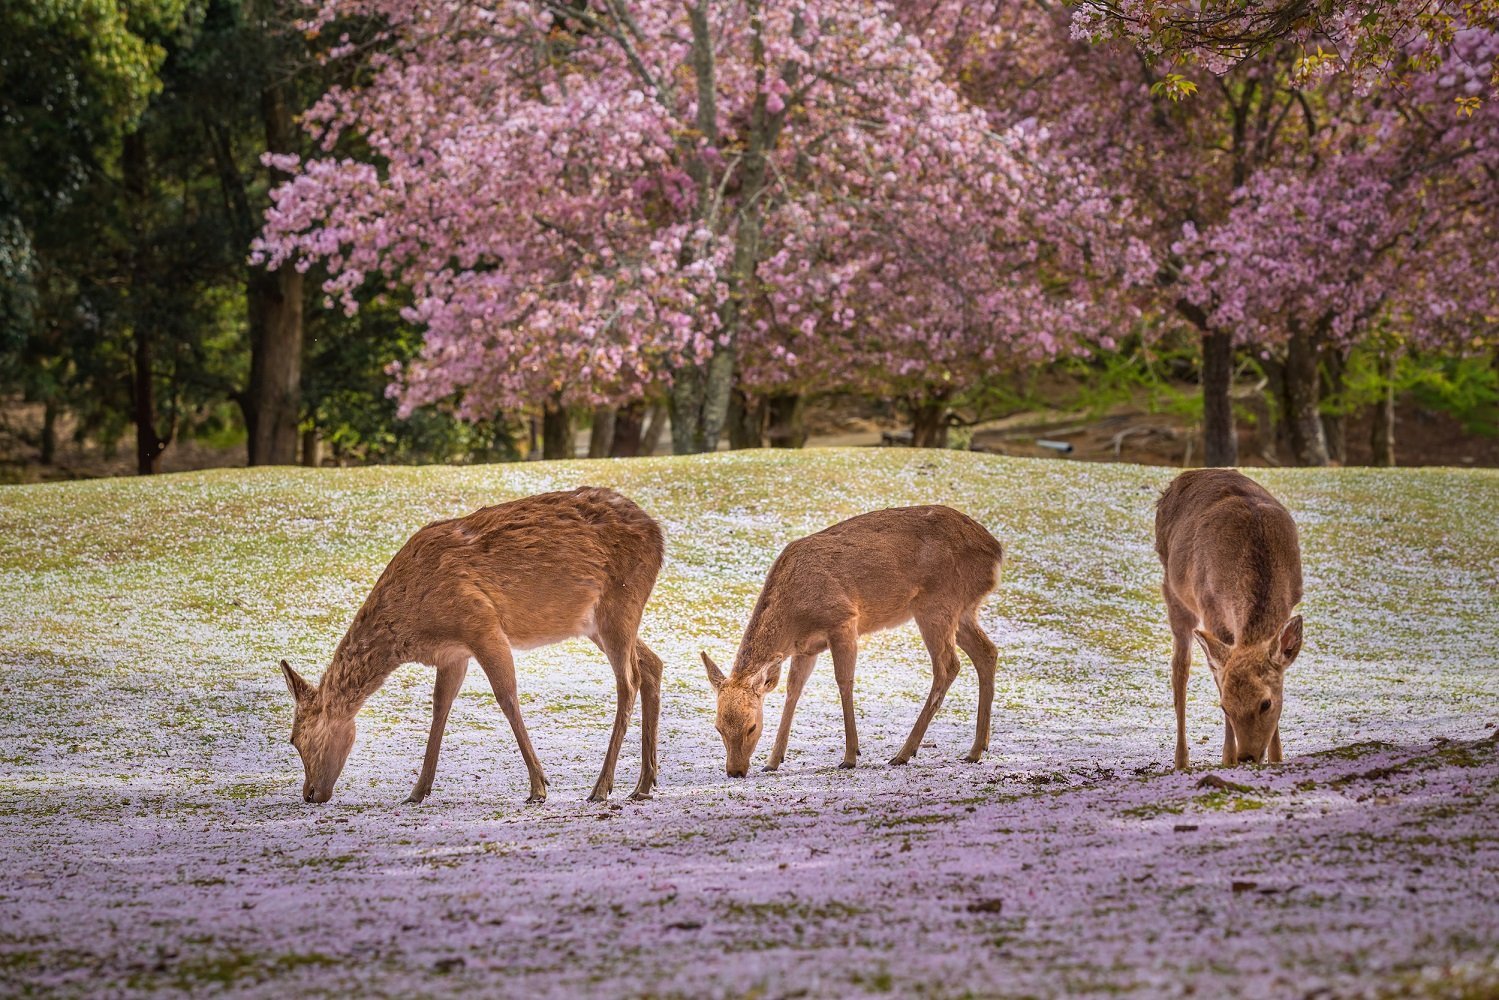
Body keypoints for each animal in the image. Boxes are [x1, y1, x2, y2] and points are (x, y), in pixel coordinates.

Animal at [278, 486, 665, 805]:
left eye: (295, 738)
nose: (309, 793)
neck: (413, 625)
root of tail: (659, 536)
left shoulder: (481, 623)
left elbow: (506, 696)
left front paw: (538, 786)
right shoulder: (452, 653)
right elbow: (440, 707)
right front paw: (417, 791)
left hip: (620, 603)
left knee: (628, 680)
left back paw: (602, 787)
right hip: (597, 622)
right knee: (652, 663)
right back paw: (643, 783)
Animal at [701, 505, 1004, 777]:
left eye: (751, 726)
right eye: (717, 727)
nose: (735, 771)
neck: (794, 619)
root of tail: (996, 552)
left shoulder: (843, 620)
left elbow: (844, 682)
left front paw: (850, 756)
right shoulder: (806, 648)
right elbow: (793, 690)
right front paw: (773, 761)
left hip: (937, 604)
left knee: (948, 665)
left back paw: (904, 753)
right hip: (963, 609)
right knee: (987, 652)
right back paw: (976, 749)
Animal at [1155, 469, 1304, 770]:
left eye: (1266, 703)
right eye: (1225, 706)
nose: (1247, 756)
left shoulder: (1290, 602)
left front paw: (1277, 758)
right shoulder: (1211, 608)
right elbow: (1217, 673)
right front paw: (1227, 759)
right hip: (1174, 593)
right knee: (1180, 667)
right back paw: (1181, 761)